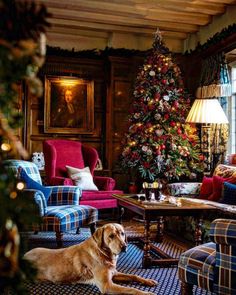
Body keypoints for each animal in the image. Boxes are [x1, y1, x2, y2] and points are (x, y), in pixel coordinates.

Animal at [24, 224, 158, 295]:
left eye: (122, 233)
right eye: (111, 236)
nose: (124, 246)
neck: (103, 254)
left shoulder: (113, 273)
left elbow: (133, 276)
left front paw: (148, 281)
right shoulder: (107, 285)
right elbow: (131, 289)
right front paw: (147, 293)